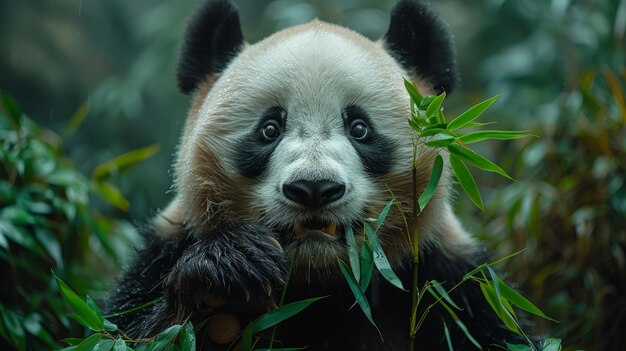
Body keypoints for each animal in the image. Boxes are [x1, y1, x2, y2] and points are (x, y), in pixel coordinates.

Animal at [107, 0, 536, 350]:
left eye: (360, 128)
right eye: (269, 128)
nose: (314, 188)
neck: (322, 283)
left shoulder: (455, 282)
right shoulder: (163, 251)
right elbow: (131, 331)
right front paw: (224, 271)